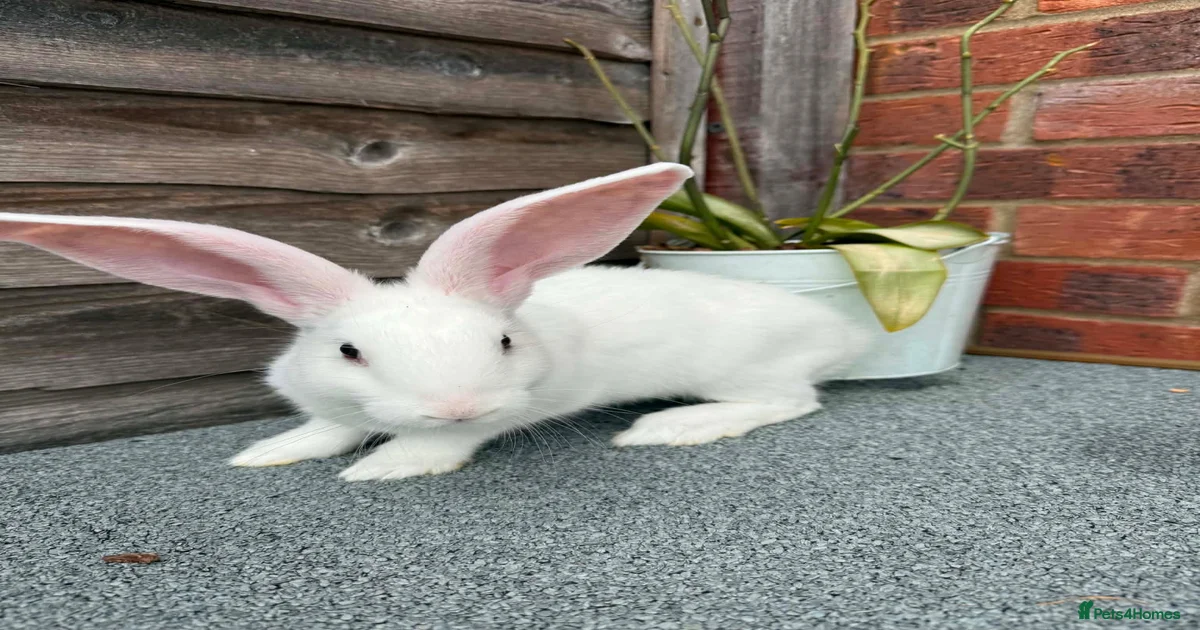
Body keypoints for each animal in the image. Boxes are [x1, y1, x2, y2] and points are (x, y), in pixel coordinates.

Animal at [0, 163, 869, 481]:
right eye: (349, 350)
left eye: (503, 342)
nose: (457, 403)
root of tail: (845, 335)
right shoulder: (326, 400)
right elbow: (323, 428)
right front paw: (271, 453)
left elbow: (434, 450)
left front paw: (383, 468)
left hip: (745, 369)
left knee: (791, 400)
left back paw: (669, 428)